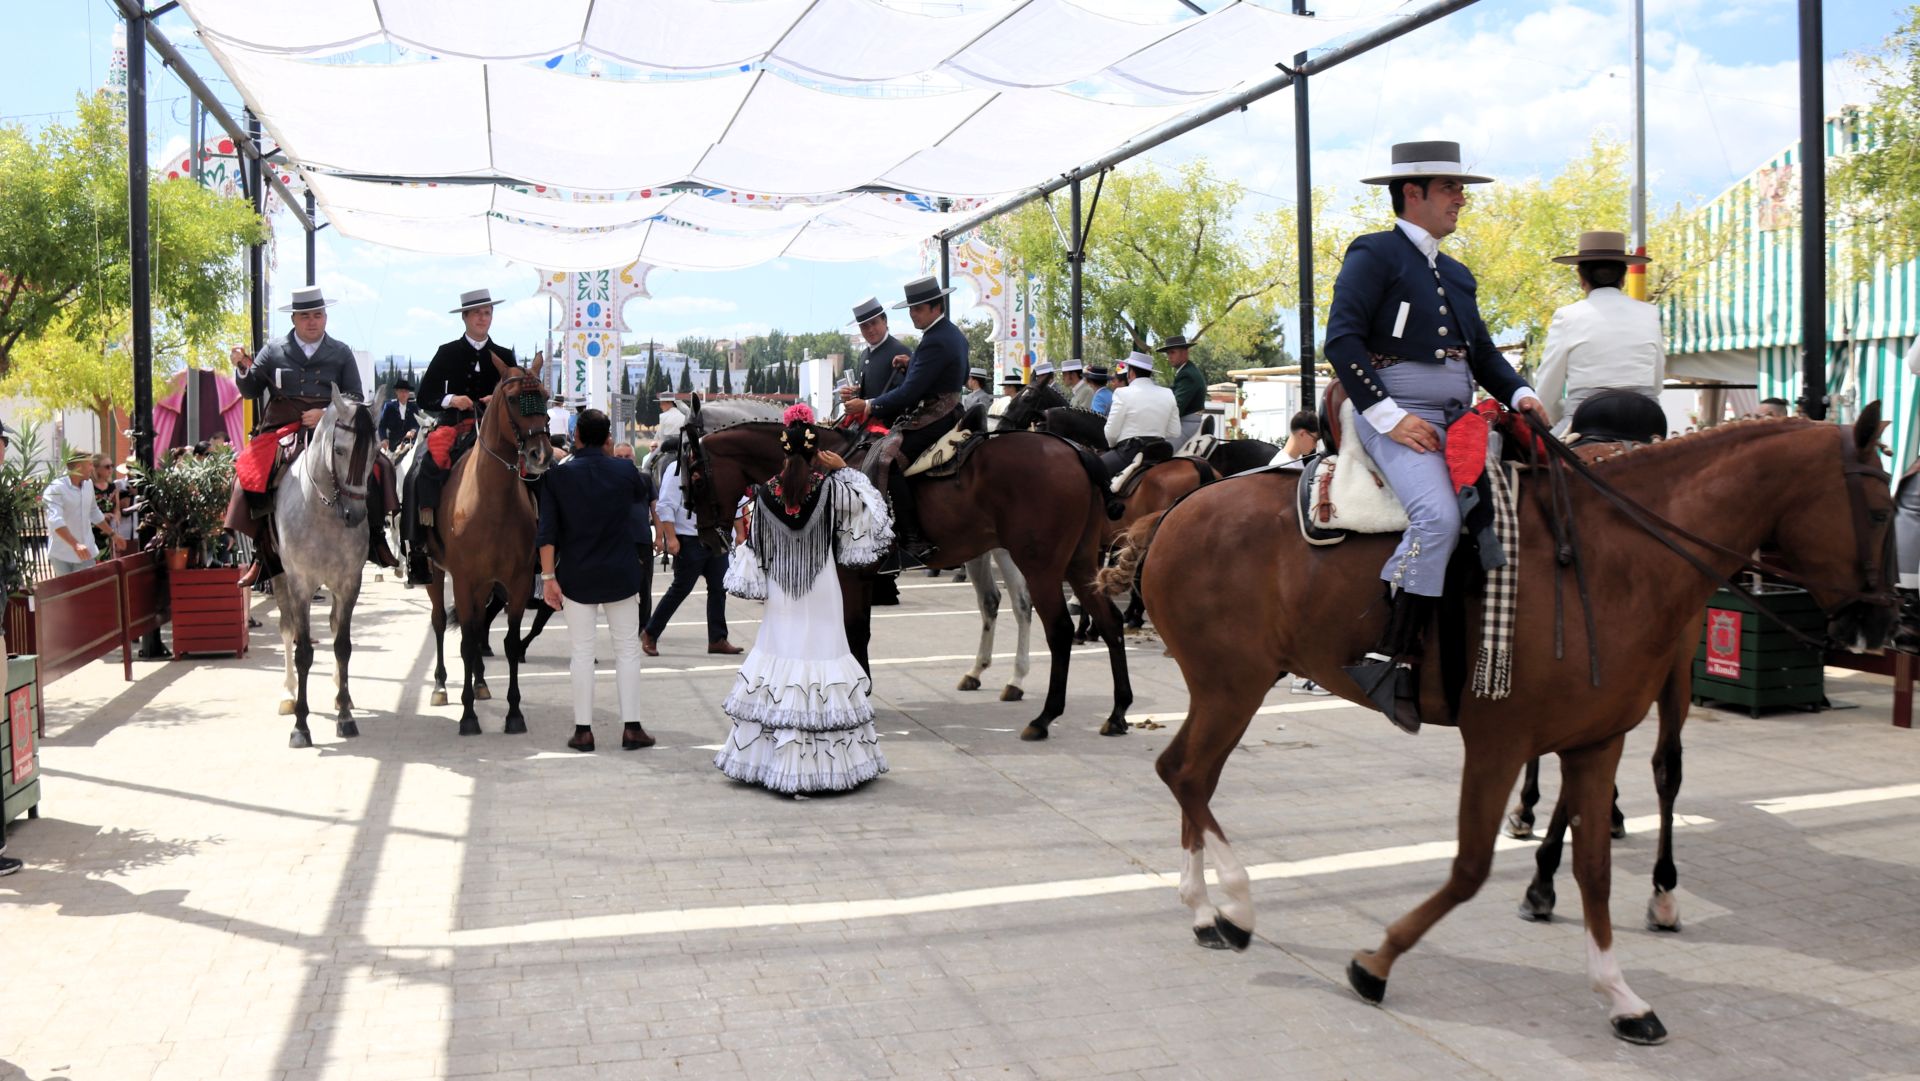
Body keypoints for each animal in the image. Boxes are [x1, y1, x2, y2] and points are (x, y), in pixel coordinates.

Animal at [272, 389, 380, 752]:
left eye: (375, 452)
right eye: (340, 450)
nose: (355, 515)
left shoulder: (349, 584)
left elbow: (342, 645)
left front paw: (345, 715)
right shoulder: (301, 584)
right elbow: (304, 650)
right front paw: (300, 726)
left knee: (333, 627)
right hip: (278, 577)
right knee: (287, 629)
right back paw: (288, 693)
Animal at [426, 355, 556, 737]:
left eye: (546, 395)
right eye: (513, 399)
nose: (540, 454)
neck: (492, 501)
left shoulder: (517, 582)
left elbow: (509, 643)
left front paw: (514, 712)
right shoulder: (463, 580)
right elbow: (467, 641)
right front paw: (468, 715)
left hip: (486, 585)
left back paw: (482, 684)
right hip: (435, 572)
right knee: (440, 622)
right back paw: (440, 685)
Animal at [675, 399, 1128, 744]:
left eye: (694, 474)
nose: (708, 540)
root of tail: (1075, 451)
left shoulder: (851, 575)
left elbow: (854, 631)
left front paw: (858, 694)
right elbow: (855, 632)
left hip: (1041, 564)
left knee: (1058, 628)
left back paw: (1044, 716)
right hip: (1078, 562)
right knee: (1108, 620)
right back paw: (1117, 711)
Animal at [1113, 410, 1889, 1044]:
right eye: (1883, 512)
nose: (1880, 627)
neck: (1614, 559)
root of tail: (1180, 505)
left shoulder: (1595, 743)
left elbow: (1594, 868)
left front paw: (1620, 995)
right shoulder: (1498, 740)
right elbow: (1469, 868)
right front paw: (1376, 962)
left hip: (1228, 688)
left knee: (1189, 775)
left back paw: (1204, 910)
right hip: (1232, 684)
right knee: (1186, 773)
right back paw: (1234, 908)